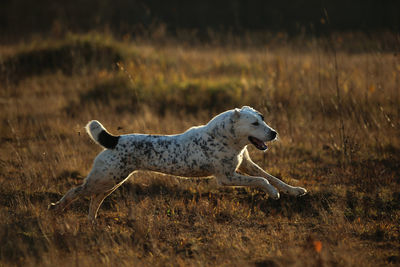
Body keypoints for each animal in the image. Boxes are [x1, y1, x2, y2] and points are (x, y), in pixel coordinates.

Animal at [48, 107, 308, 222]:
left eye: (263, 119)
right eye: (254, 123)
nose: (274, 133)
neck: (226, 137)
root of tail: (115, 139)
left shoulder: (245, 166)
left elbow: (273, 178)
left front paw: (294, 191)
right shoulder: (226, 178)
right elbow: (262, 181)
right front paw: (273, 194)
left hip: (112, 180)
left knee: (95, 199)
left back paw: (91, 221)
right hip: (104, 178)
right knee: (75, 191)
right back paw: (56, 208)